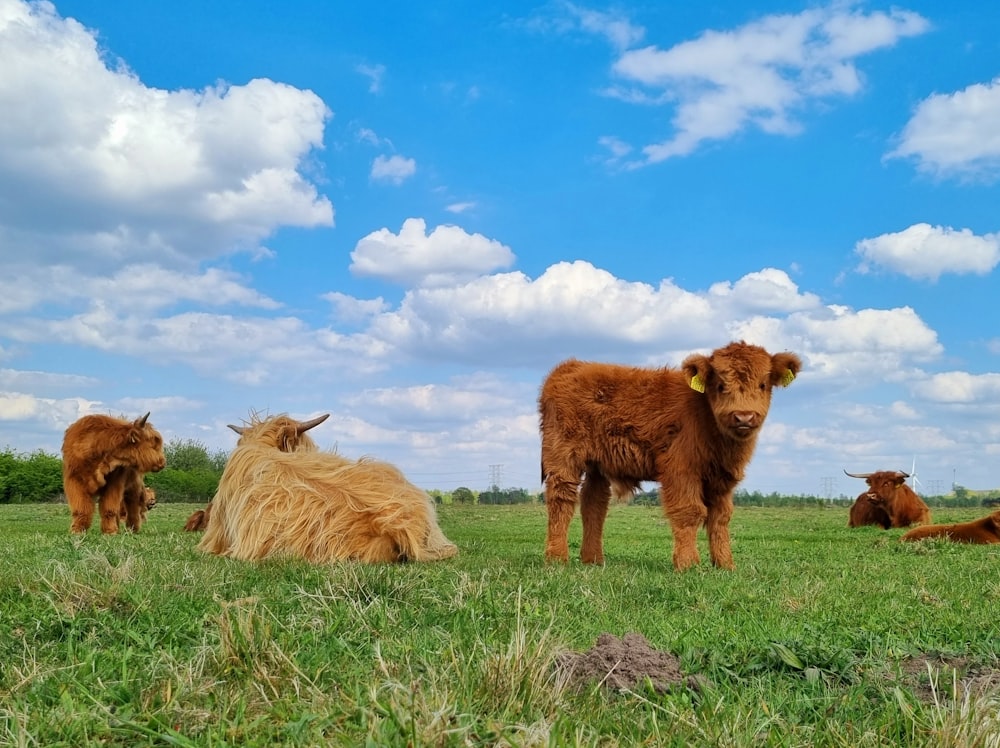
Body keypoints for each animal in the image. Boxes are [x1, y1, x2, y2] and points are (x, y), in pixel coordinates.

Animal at [536, 342, 800, 568]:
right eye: (720, 385)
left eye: (763, 384)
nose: (744, 416)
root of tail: (571, 366)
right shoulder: (680, 470)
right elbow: (689, 512)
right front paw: (688, 564)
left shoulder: (722, 479)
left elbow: (720, 518)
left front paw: (725, 565)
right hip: (562, 456)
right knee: (561, 499)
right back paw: (557, 558)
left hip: (597, 465)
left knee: (594, 503)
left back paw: (593, 560)